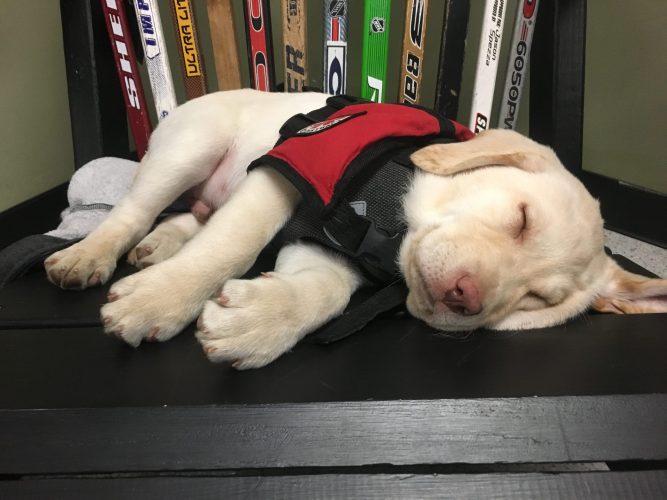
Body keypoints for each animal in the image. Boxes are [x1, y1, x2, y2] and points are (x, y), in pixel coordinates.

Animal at [44, 90, 667, 370]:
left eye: (535, 300)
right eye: (521, 218)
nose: (464, 298)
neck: (392, 221)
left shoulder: (332, 248)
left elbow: (323, 291)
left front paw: (258, 323)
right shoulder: (283, 177)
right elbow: (234, 245)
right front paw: (160, 302)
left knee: (190, 217)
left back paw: (161, 245)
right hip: (193, 143)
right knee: (136, 210)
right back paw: (92, 255)